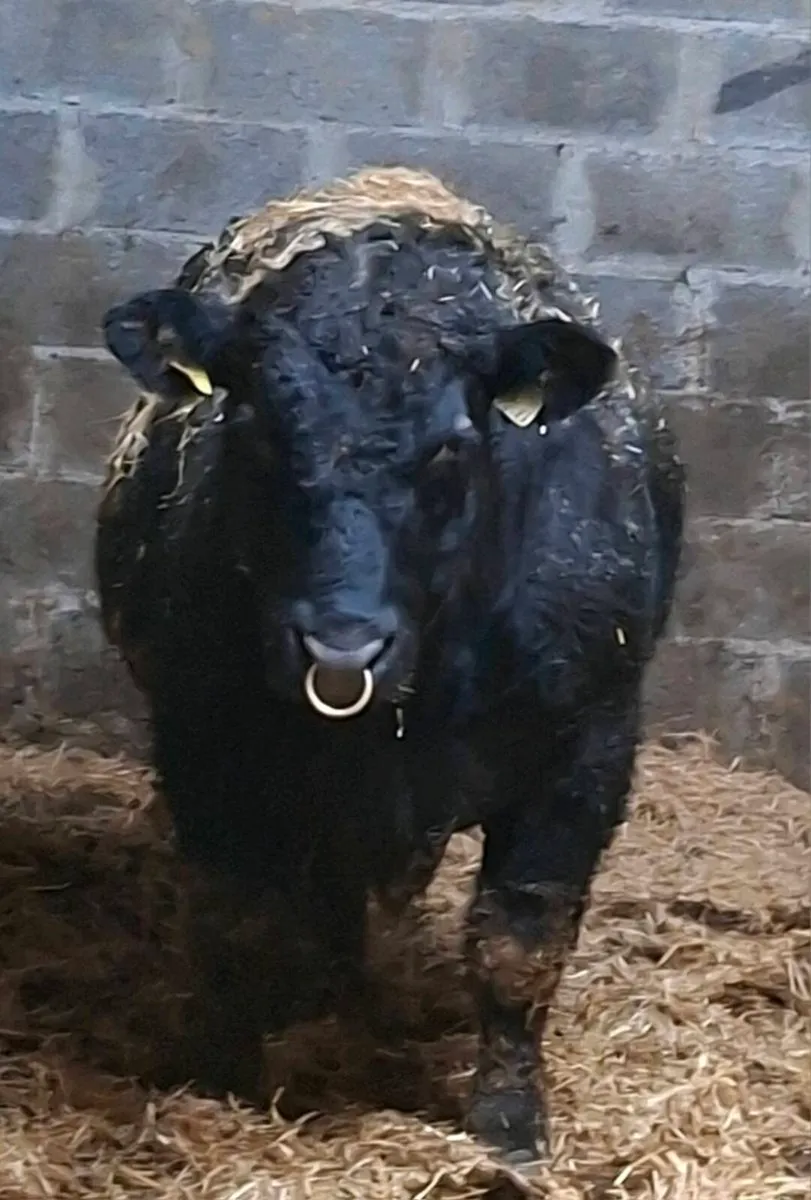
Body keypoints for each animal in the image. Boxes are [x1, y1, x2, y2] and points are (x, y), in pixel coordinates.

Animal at [95, 167, 685, 1166]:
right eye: (255, 425)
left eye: (452, 441)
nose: (340, 644)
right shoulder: (202, 740)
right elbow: (236, 921)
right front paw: (223, 1080)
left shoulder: (586, 753)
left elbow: (517, 946)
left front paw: (509, 1130)